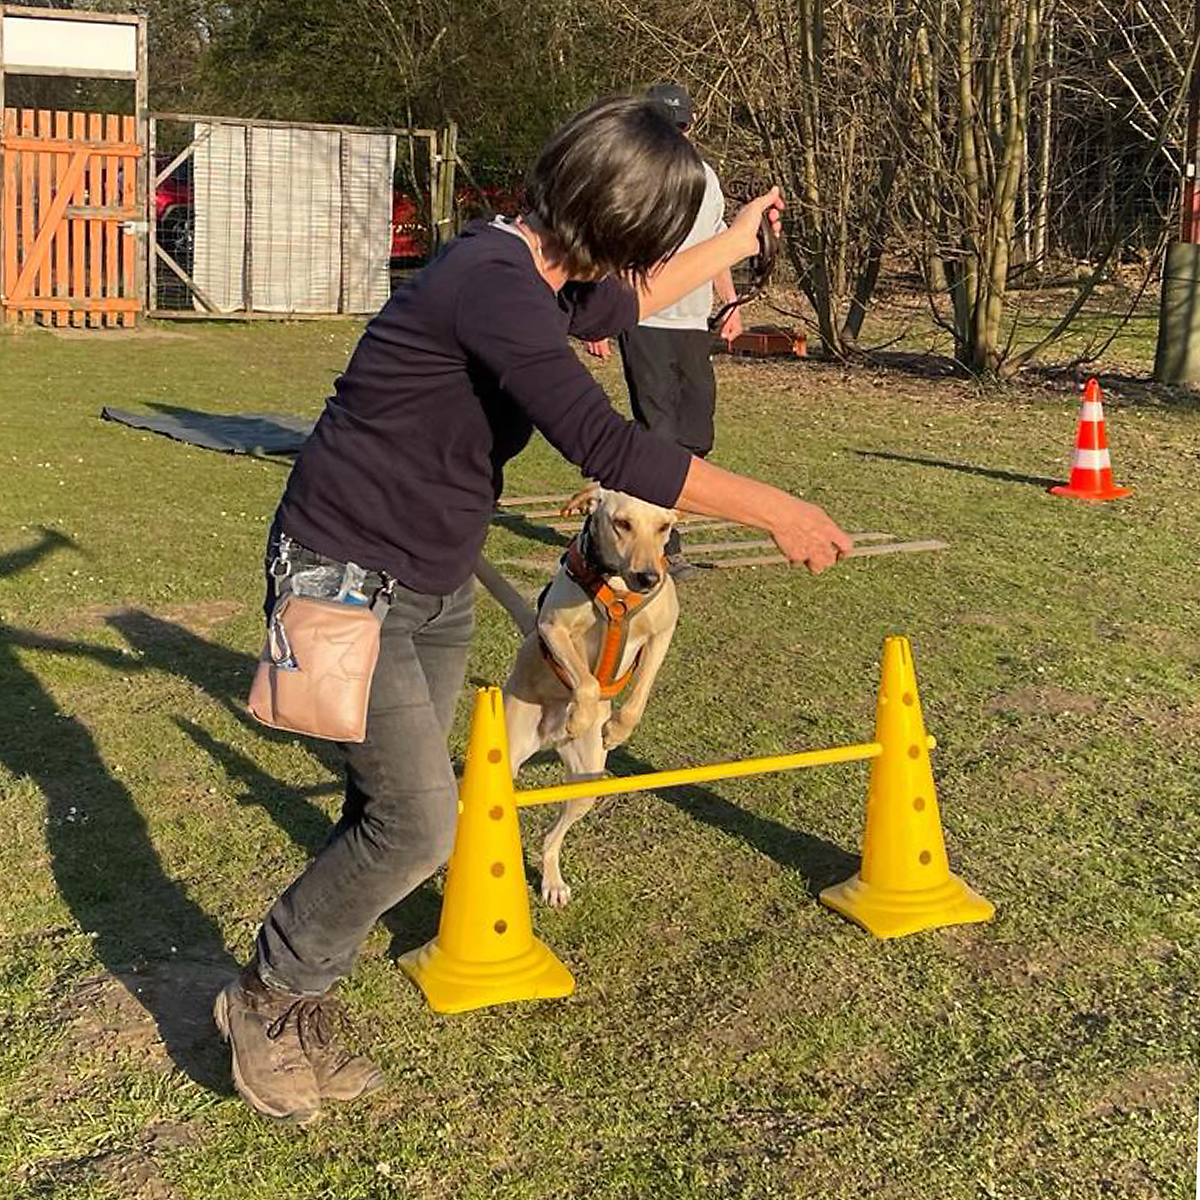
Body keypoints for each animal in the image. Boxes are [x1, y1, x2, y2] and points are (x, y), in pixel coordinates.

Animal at [501, 482, 681, 902]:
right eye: (622, 523)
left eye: (663, 527)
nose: (648, 577)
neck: (615, 586)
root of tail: (548, 738)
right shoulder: (553, 628)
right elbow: (585, 681)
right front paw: (579, 716)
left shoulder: (662, 632)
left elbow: (637, 696)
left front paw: (615, 730)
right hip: (510, 754)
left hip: (587, 780)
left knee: (551, 837)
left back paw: (552, 882)